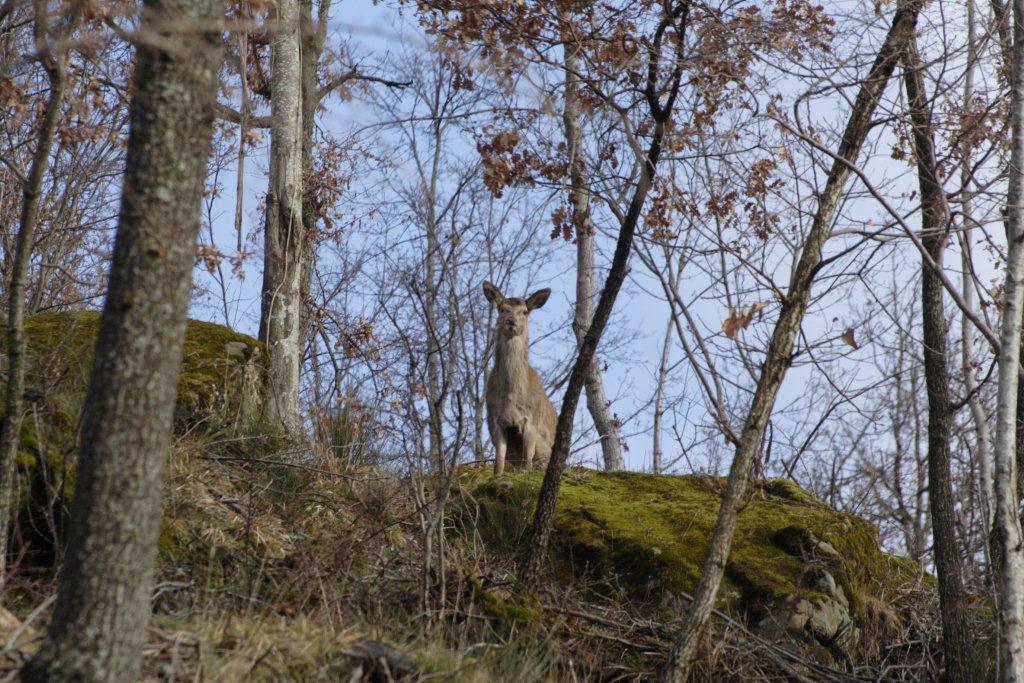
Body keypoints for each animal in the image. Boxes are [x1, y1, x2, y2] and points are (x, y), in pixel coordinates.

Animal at [481, 280, 557, 479]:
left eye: (524, 311)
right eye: (502, 309)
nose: (511, 321)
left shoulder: (531, 421)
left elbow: (527, 462)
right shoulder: (496, 421)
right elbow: (499, 461)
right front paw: (497, 477)